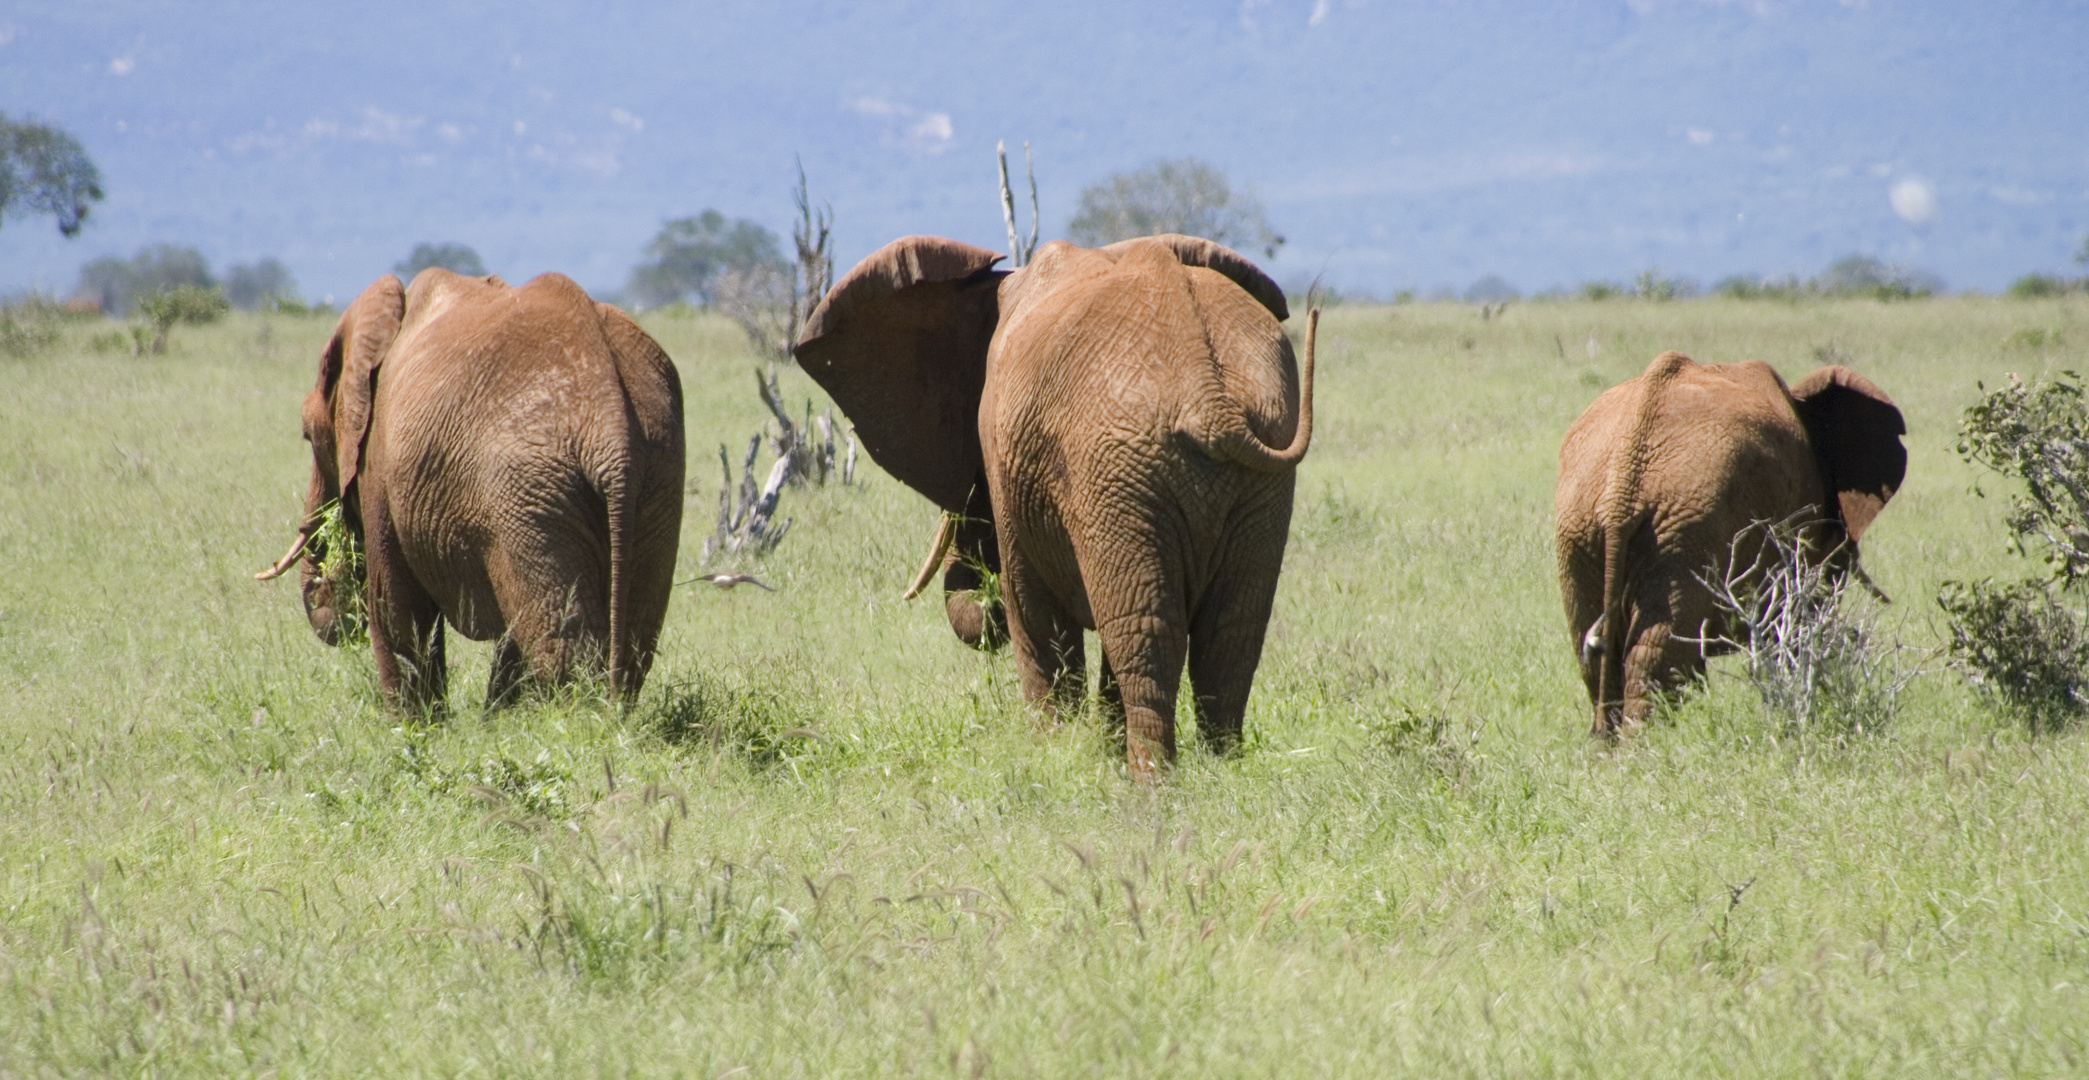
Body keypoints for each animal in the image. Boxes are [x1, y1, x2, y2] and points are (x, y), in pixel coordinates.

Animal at [257, 267, 685, 706]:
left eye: (308, 435)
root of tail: (611, 421)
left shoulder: (380, 458)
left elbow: (395, 611)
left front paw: (420, 725)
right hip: (655, 476)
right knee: (632, 633)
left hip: (528, 496)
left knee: (558, 642)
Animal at [789, 233, 1311, 772]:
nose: (981, 585)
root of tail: (1210, 398)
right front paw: (1096, 751)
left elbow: (1031, 607)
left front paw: (1056, 754)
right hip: (1255, 473)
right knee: (1229, 633)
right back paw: (1218, 773)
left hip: (1117, 473)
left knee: (1144, 631)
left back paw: (1152, 784)